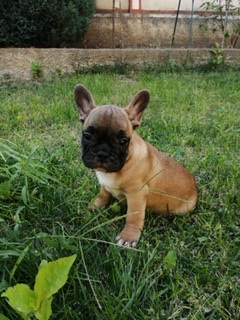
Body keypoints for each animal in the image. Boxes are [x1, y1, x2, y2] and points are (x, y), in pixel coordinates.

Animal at [74, 84, 198, 246]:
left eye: (123, 141)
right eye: (87, 136)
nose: (102, 153)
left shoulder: (136, 195)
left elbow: (133, 216)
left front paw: (128, 237)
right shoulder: (105, 185)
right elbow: (103, 195)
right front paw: (94, 207)